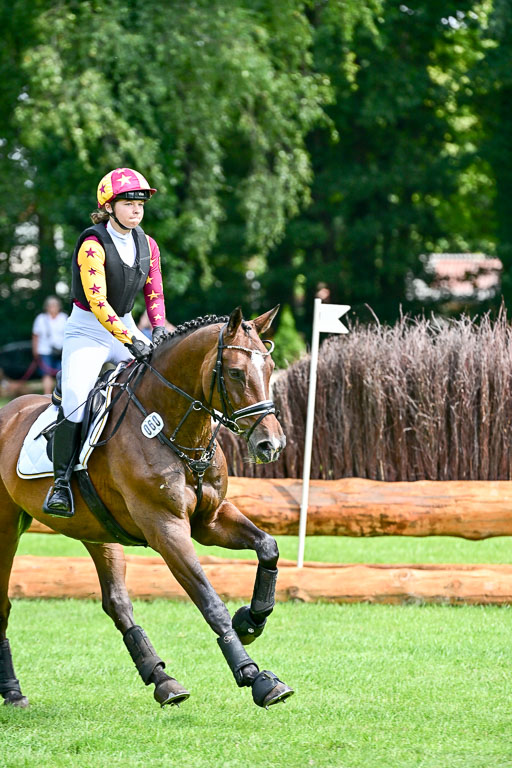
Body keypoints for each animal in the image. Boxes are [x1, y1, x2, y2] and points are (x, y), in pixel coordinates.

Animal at [0, 306, 293, 710]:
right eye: (235, 372)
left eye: (271, 367)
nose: (271, 445)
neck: (175, 430)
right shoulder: (166, 529)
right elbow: (209, 600)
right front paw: (254, 676)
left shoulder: (210, 521)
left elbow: (268, 547)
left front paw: (250, 621)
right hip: (6, 528)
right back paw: (12, 690)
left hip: (96, 531)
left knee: (117, 603)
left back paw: (163, 680)